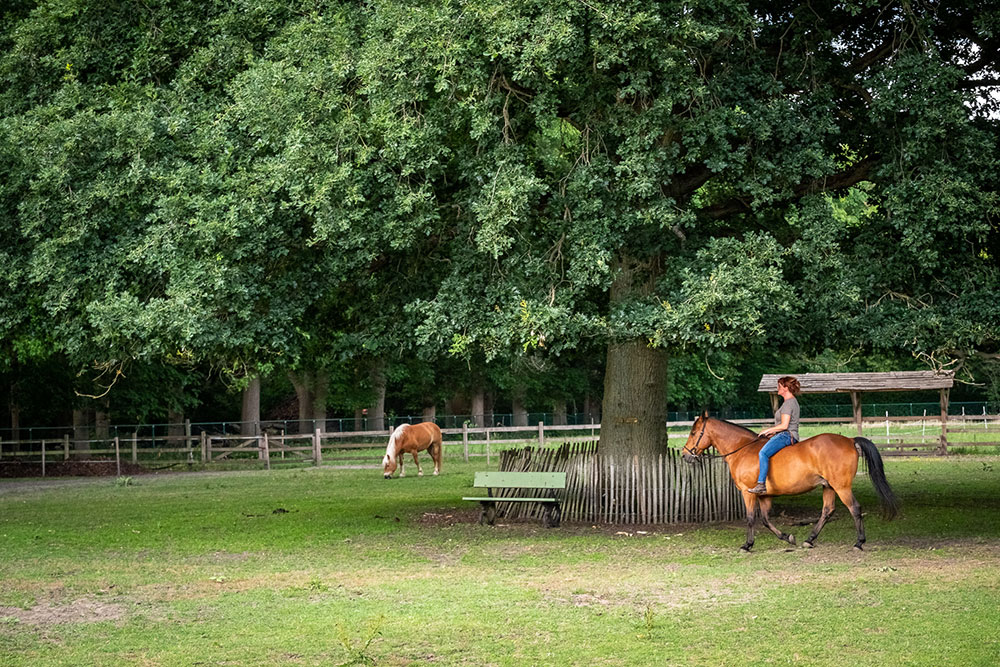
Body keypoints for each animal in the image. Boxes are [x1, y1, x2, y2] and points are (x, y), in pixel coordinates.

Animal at [680, 412, 900, 552]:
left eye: (693, 433)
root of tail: (849, 440)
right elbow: (765, 520)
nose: (685, 455)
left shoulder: (747, 493)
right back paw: (809, 540)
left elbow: (751, 518)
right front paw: (787, 537)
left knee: (854, 508)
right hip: (828, 486)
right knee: (827, 511)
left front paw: (747, 545)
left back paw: (859, 543)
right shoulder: (765, 495)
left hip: (841, 487)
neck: (742, 449)